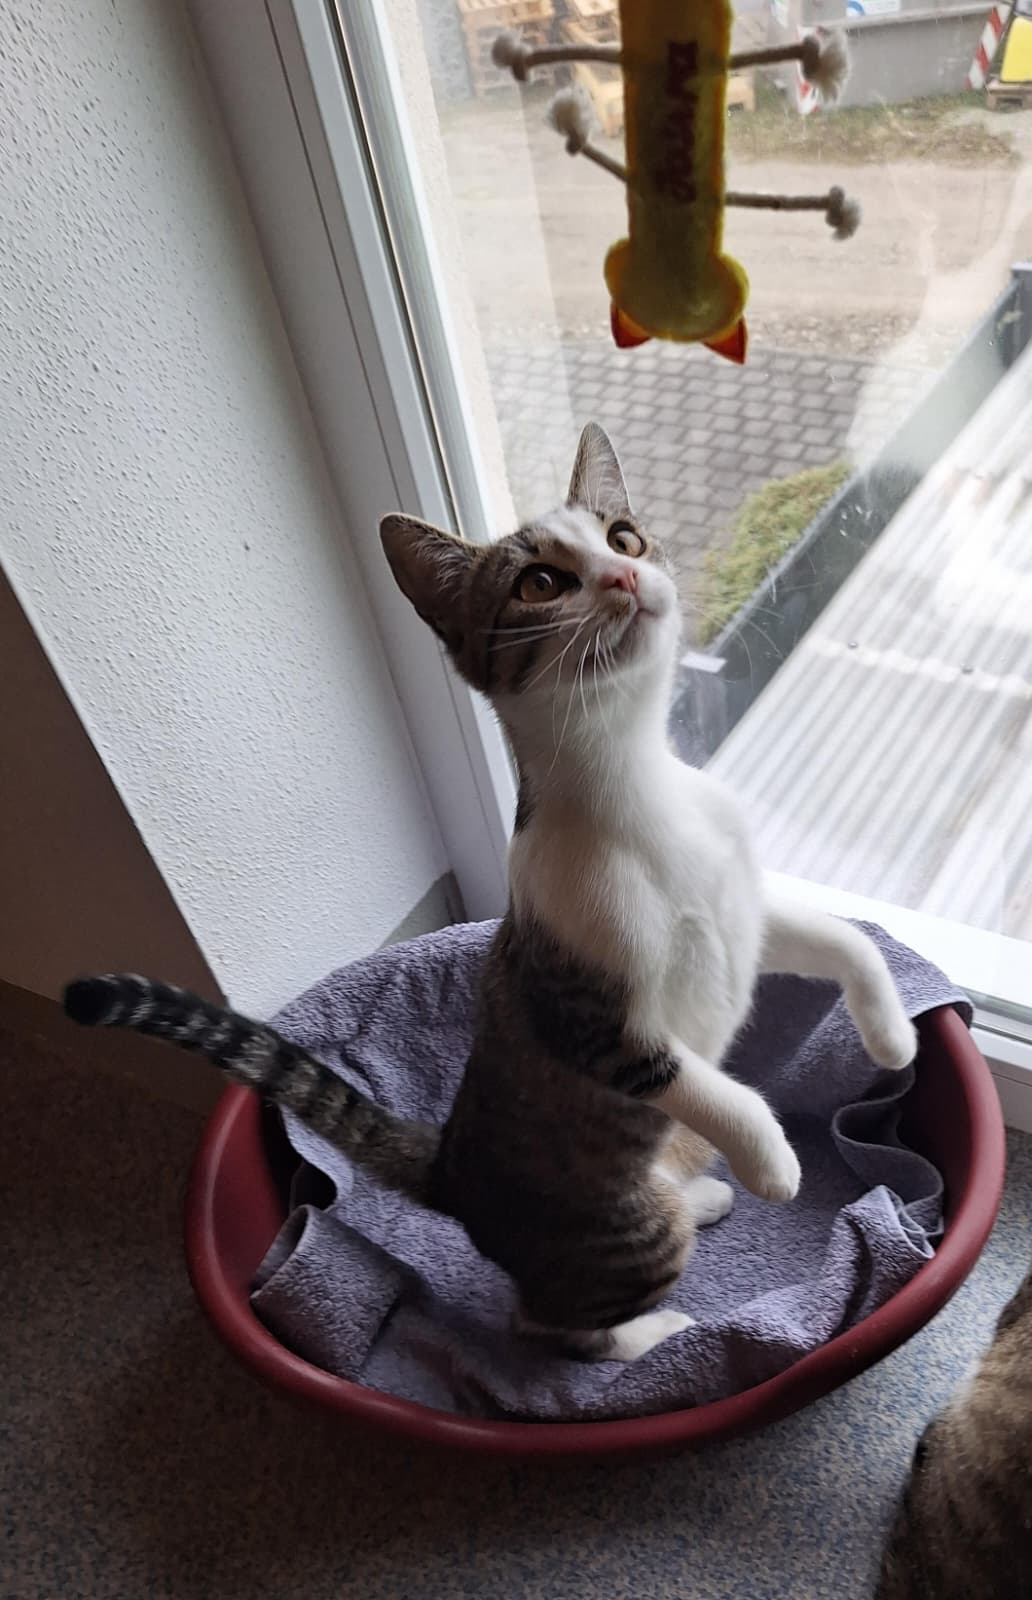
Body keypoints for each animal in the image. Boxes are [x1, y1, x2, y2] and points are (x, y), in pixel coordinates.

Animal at [64, 422, 916, 1361]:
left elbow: (847, 938)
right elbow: (700, 1081)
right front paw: (774, 1162)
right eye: (541, 582)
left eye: (624, 538)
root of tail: (453, 1169)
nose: (625, 577)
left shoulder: (742, 907)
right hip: (621, 1229)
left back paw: (698, 1195)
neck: (640, 796)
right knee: (551, 1323)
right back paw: (657, 1331)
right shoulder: (592, 1021)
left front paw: (893, 1037)